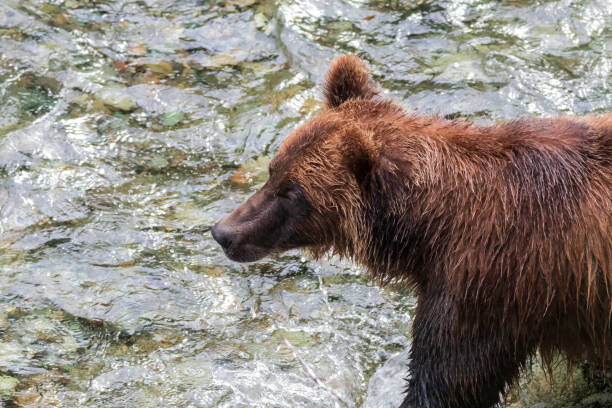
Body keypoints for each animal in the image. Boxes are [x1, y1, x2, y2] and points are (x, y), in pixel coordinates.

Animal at [212, 55, 612, 408]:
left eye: (293, 194)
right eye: (273, 170)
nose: (223, 232)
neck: (432, 229)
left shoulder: (485, 286)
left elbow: (448, 381)